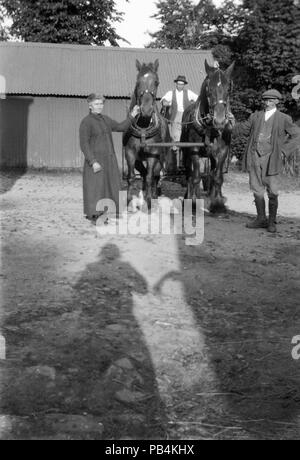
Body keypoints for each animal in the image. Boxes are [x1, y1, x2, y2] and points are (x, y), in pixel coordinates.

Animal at [122, 59, 171, 207]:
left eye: (156, 82)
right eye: (138, 82)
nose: (146, 110)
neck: (143, 126)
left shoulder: (153, 154)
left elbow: (150, 176)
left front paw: (149, 201)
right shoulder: (130, 153)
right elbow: (132, 177)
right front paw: (129, 202)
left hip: (161, 158)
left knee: (155, 175)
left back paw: (154, 194)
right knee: (144, 174)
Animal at [180, 58, 234, 214]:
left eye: (229, 88)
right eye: (209, 88)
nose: (220, 120)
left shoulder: (222, 152)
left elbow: (217, 177)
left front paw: (218, 205)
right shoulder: (194, 151)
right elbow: (196, 177)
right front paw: (193, 203)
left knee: (212, 173)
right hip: (186, 153)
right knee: (189, 174)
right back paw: (188, 197)